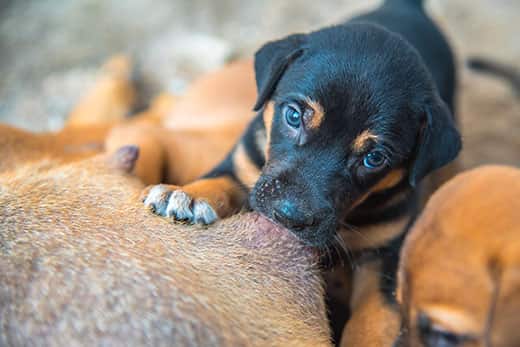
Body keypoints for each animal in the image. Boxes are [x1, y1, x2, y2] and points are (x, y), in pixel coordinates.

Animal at [142, 0, 460, 344]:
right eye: (293, 116)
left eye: (374, 158)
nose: (288, 217)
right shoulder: (243, 164)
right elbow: (218, 180)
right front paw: (184, 195)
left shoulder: (383, 255)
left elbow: (373, 319)